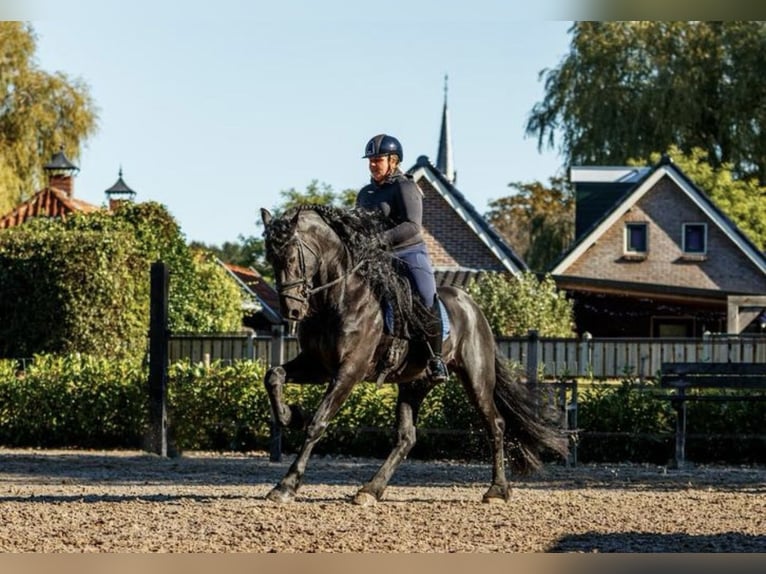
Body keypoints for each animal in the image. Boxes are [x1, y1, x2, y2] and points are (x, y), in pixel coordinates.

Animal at [260, 205, 568, 506]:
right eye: (271, 259)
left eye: (292, 257)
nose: (292, 311)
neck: (338, 298)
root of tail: (472, 307)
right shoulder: (318, 365)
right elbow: (273, 375)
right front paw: (290, 415)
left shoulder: (348, 371)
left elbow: (317, 423)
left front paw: (286, 486)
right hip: (414, 384)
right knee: (407, 438)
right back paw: (370, 490)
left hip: (476, 379)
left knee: (496, 424)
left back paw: (497, 490)